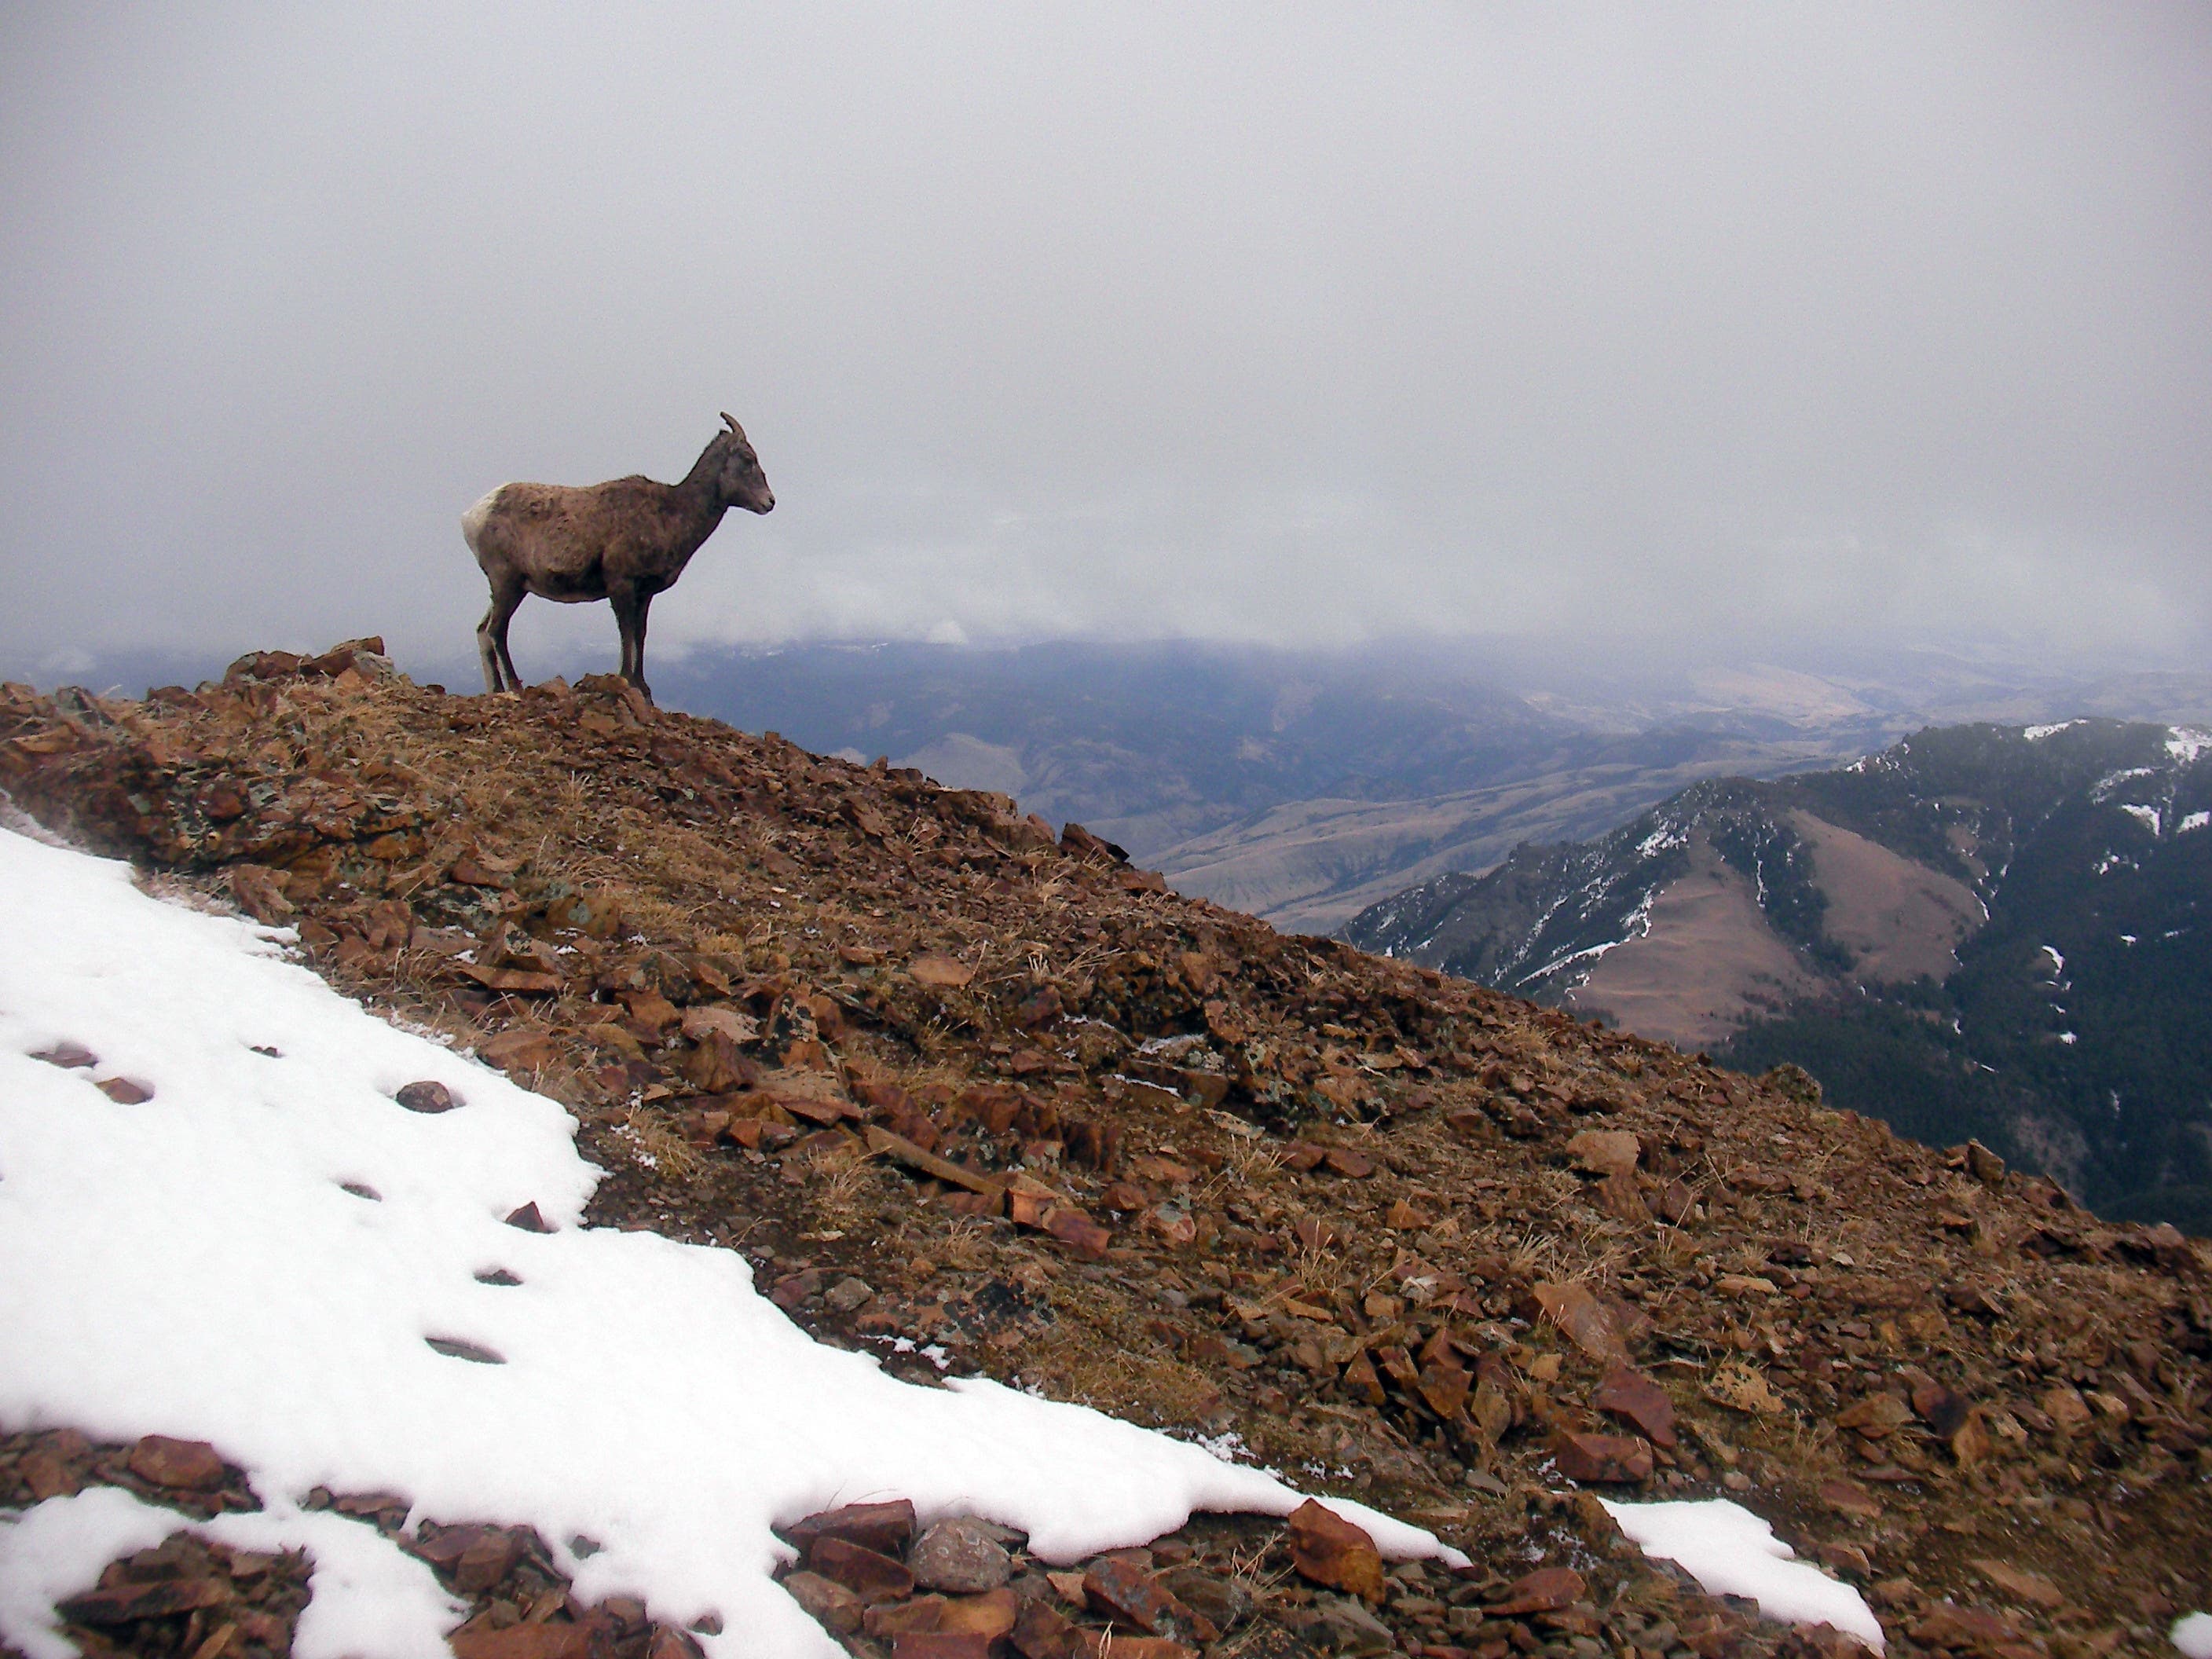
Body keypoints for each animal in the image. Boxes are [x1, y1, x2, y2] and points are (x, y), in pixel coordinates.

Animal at [462, 413, 774, 701]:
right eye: (748, 458)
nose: (769, 502)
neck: (671, 514)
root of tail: (472, 515)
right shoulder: (621, 584)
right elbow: (626, 631)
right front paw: (627, 681)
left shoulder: (644, 593)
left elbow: (640, 633)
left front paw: (644, 689)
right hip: (508, 583)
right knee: (497, 630)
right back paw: (514, 688)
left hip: (510, 588)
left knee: (483, 630)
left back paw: (497, 689)